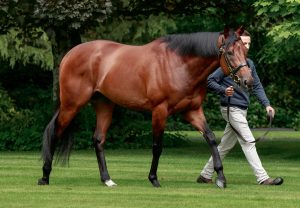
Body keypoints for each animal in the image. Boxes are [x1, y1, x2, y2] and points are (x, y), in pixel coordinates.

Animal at [38, 26, 253, 188]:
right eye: (230, 52)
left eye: (245, 51)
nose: (248, 81)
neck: (179, 64)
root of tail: (70, 54)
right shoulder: (159, 111)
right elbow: (157, 146)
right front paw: (153, 179)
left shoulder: (192, 111)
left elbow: (211, 139)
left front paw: (221, 178)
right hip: (72, 104)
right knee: (55, 132)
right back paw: (45, 177)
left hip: (104, 104)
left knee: (98, 139)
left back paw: (107, 180)